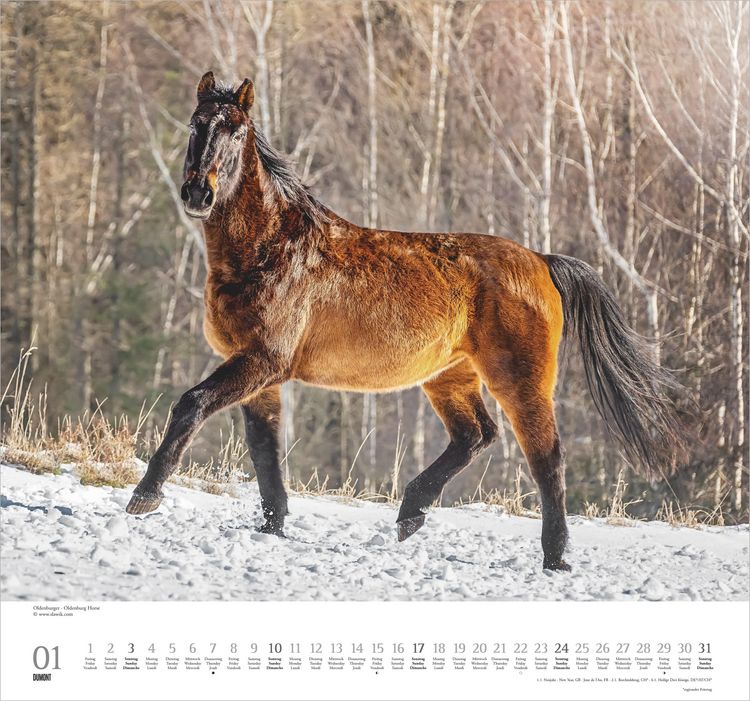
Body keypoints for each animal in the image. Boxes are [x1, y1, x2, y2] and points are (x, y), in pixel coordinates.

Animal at [126, 72, 687, 572]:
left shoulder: (262, 361)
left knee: (545, 457)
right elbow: (265, 452)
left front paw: (144, 497)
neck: (272, 249)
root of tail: (541, 260)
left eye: (236, 130)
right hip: (450, 376)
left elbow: (192, 404)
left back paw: (555, 559)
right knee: (476, 436)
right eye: (196, 123)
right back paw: (410, 514)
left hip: (520, 380)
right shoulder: (257, 372)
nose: (197, 193)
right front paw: (272, 527)